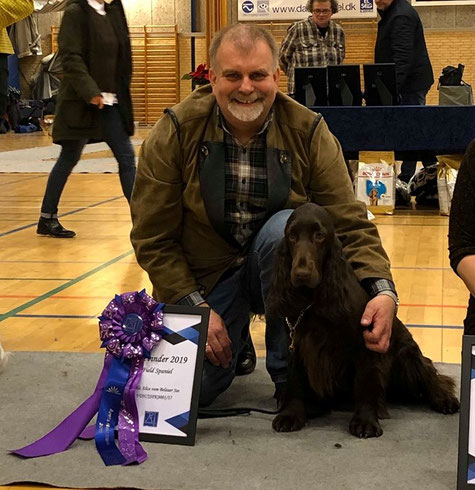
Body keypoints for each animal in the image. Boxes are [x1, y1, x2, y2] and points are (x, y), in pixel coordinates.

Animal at [268, 201, 458, 438]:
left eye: (319, 235)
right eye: (292, 236)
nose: (301, 274)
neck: (315, 300)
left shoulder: (366, 344)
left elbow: (366, 383)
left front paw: (366, 421)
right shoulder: (298, 342)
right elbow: (295, 380)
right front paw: (291, 414)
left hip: (407, 357)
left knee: (431, 373)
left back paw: (445, 399)